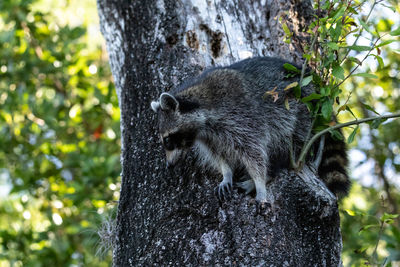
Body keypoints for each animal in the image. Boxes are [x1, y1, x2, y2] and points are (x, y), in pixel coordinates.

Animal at [151, 56, 350, 203]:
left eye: (167, 140)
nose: (169, 165)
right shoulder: (210, 136)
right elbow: (220, 155)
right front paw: (226, 173)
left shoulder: (243, 118)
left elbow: (255, 154)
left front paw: (260, 182)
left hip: (302, 113)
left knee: (289, 144)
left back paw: (270, 172)